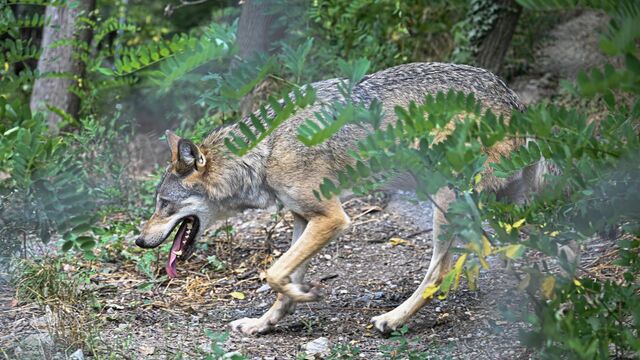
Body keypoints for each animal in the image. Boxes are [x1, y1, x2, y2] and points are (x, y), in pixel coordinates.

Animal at [135, 62, 540, 334]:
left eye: (163, 204)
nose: (139, 240)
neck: (266, 150)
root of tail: (517, 102)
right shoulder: (303, 219)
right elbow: (283, 282)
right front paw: (264, 323)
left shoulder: (332, 218)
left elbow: (274, 272)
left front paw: (307, 295)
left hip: (445, 198)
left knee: (439, 274)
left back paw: (392, 319)